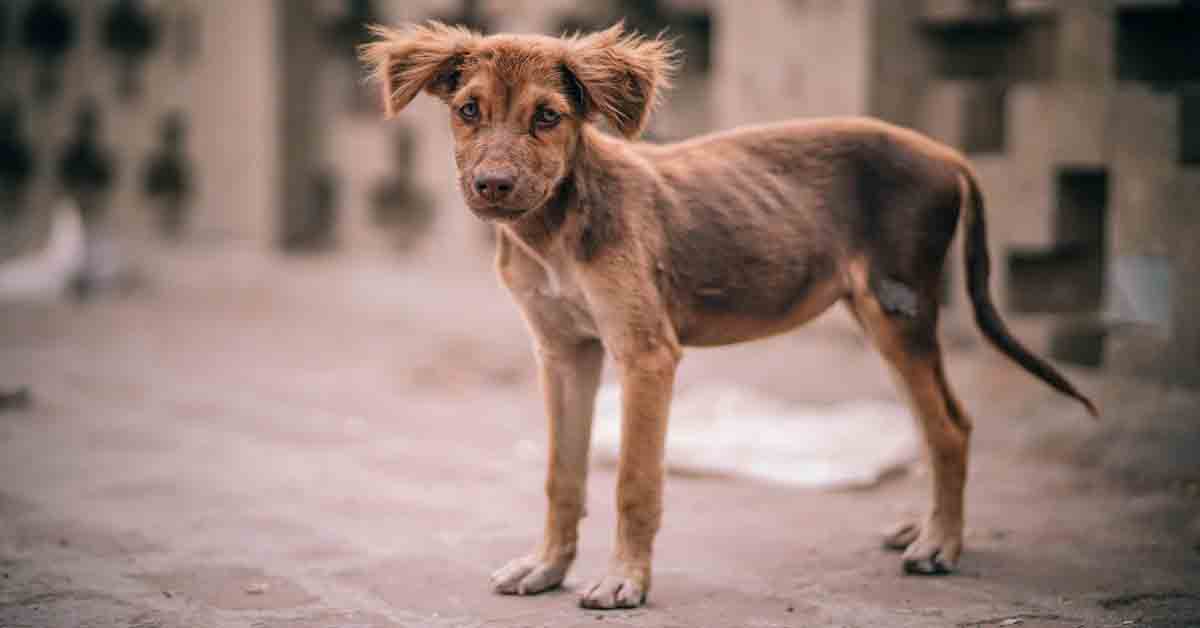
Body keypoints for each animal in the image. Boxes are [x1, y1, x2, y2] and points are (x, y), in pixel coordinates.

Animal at [357, 20, 1099, 609]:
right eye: (468, 110)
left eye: (547, 117)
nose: (493, 186)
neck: (556, 229)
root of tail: (948, 154)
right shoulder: (563, 353)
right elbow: (560, 475)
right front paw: (546, 567)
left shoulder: (646, 353)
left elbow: (633, 481)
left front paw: (624, 581)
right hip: (879, 315)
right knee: (941, 418)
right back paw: (925, 528)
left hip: (900, 308)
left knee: (948, 426)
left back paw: (941, 545)